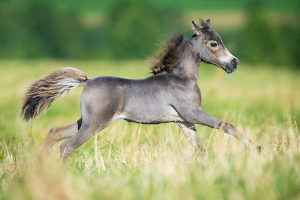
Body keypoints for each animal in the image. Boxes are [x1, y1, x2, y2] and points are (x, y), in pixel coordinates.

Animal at [21, 19, 253, 162]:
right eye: (213, 43)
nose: (234, 63)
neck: (181, 78)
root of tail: (87, 81)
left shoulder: (183, 121)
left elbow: (200, 149)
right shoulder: (192, 113)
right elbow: (226, 125)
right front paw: (255, 148)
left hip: (85, 121)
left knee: (54, 133)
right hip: (94, 123)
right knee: (66, 147)